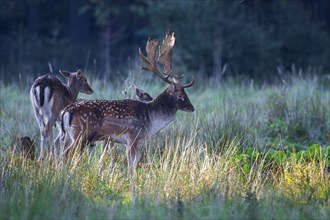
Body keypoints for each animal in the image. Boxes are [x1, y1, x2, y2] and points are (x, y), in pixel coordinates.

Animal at [60, 31, 193, 175]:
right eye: (180, 95)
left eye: (186, 93)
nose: (192, 108)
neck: (151, 121)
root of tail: (66, 111)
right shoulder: (132, 137)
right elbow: (132, 162)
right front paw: (131, 177)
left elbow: (136, 159)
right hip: (81, 134)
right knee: (66, 154)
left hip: (69, 135)